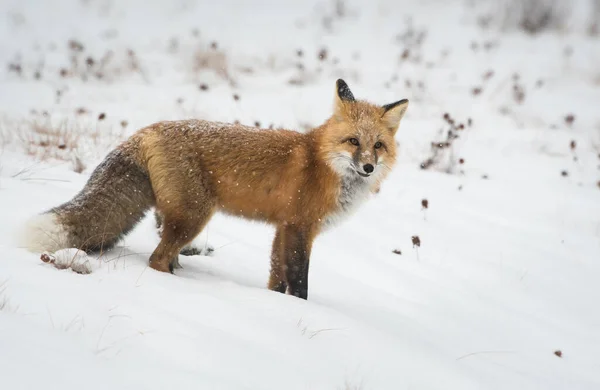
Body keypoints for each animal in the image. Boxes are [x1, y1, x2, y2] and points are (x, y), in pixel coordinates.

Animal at [22, 78, 408, 298]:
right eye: (353, 141)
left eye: (377, 146)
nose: (368, 168)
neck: (323, 164)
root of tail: (147, 130)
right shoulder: (301, 227)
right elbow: (299, 282)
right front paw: (298, 309)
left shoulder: (282, 227)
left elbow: (276, 277)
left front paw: (274, 305)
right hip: (194, 216)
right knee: (156, 259)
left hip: (179, 216)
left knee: (164, 252)